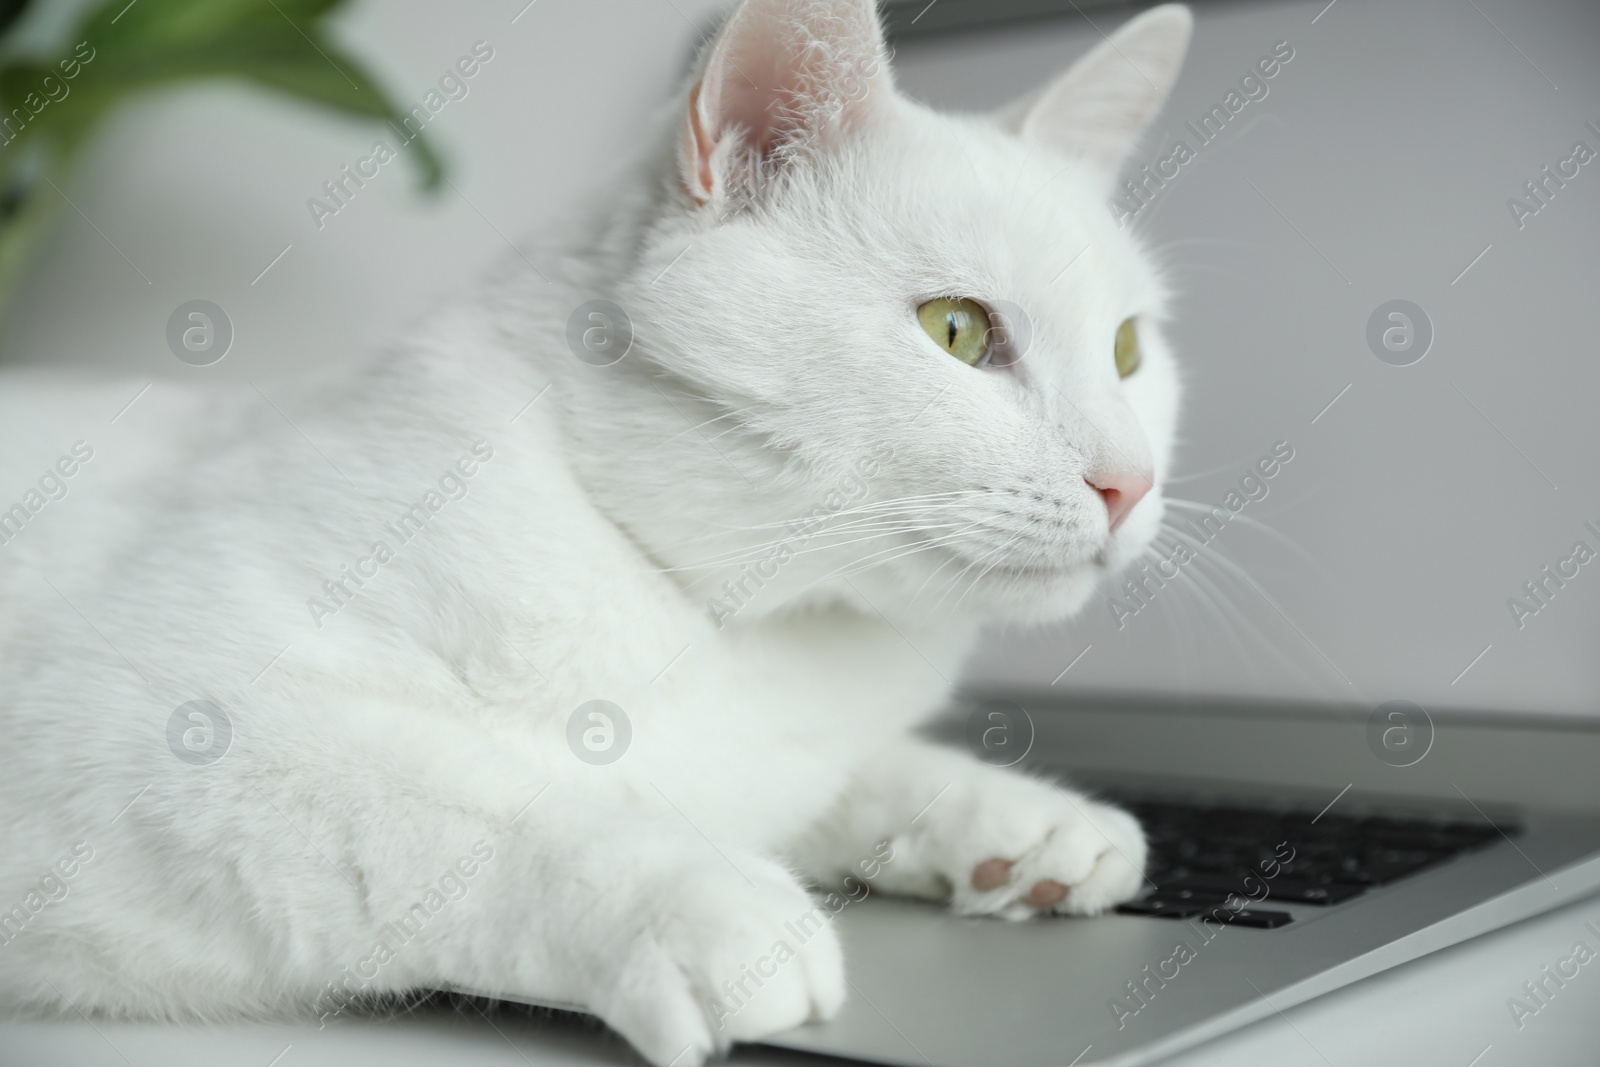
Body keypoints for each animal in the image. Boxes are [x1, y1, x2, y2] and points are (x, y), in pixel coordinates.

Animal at [0, 4, 1190, 1062]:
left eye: (1129, 350)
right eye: (957, 330)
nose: (1129, 482)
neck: (735, 620)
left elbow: (855, 776)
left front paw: (1016, 821)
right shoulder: (134, 733)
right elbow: (464, 806)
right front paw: (700, 902)